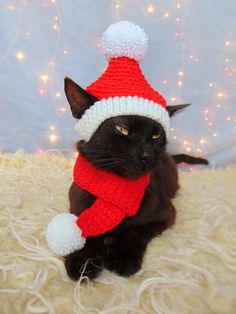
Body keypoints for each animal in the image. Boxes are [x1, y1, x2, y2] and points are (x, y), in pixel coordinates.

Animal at [63, 78, 207, 280]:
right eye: (122, 129)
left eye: (156, 134)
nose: (147, 156)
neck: (117, 191)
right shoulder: (77, 207)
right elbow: (84, 229)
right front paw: (83, 262)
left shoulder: (167, 213)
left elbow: (135, 230)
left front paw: (122, 258)